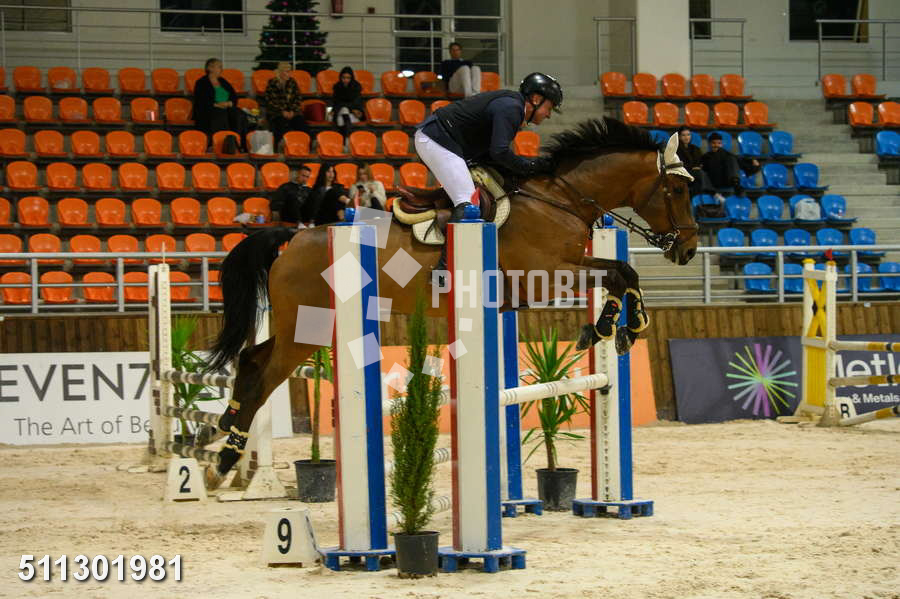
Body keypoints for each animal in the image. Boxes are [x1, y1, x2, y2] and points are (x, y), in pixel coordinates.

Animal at [202, 117, 697, 485]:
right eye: (677, 190)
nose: (689, 250)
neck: (559, 199)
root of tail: (294, 237)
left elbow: (622, 272)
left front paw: (618, 328)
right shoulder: (544, 277)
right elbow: (618, 272)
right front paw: (613, 327)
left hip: (299, 327)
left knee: (250, 360)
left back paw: (222, 436)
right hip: (307, 331)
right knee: (263, 375)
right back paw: (225, 458)